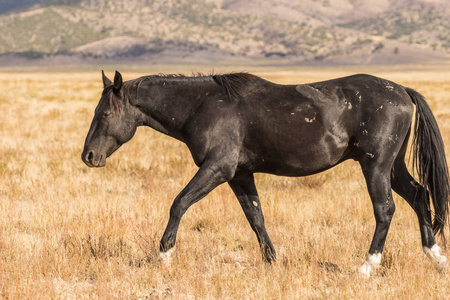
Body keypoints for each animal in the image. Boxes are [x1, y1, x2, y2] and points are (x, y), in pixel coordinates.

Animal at [81, 71, 450, 276]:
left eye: (104, 114)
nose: (88, 156)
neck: (203, 105)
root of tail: (402, 91)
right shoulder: (240, 175)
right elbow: (255, 217)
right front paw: (273, 261)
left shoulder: (218, 168)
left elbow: (179, 203)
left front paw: (165, 254)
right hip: (393, 166)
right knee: (419, 196)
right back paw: (436, 257)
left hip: (375, 166)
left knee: (385, 210)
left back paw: (367, 266)